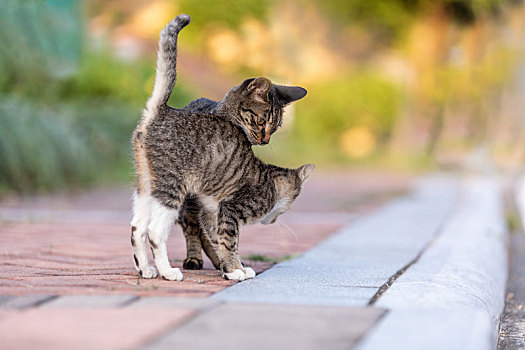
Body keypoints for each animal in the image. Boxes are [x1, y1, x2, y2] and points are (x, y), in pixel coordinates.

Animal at [131, 15, 314, 280]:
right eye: (261, 122)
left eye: (276, 127)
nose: (265, 140)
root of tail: (162, 109)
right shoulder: (229, 209)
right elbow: (228, 241)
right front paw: (235, 270)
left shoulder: (211, 210)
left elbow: (219, 240)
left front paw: (233, 269)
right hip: (172, 189)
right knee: (155, 231)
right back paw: (168, 271)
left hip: (147, 185)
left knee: (137, 227)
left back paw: (145, 269)